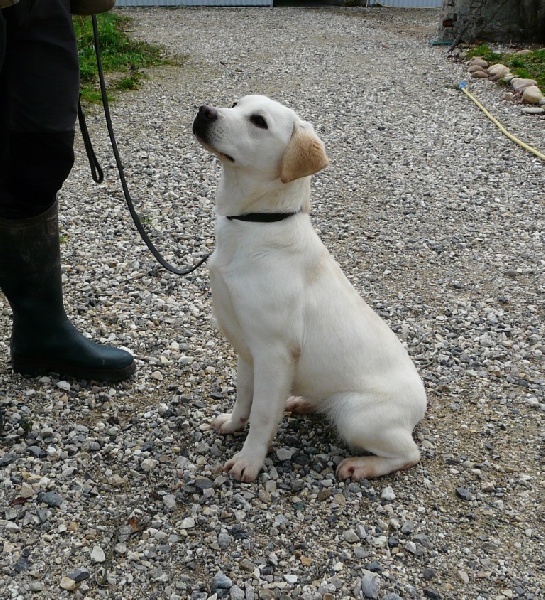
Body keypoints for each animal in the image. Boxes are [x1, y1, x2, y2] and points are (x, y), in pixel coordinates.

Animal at [193, 96, 428, 486]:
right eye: (235, 104)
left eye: (259, 121)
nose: (204, 112)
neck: (256, 225)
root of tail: (421, 404)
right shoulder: (247, 350)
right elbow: (244, 399)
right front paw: (233, 424)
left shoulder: (273, 353)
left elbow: (261, 416)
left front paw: (249, 460)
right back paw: (304, 401)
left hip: (357, 416)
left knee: (410, 454)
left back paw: (361, 465)